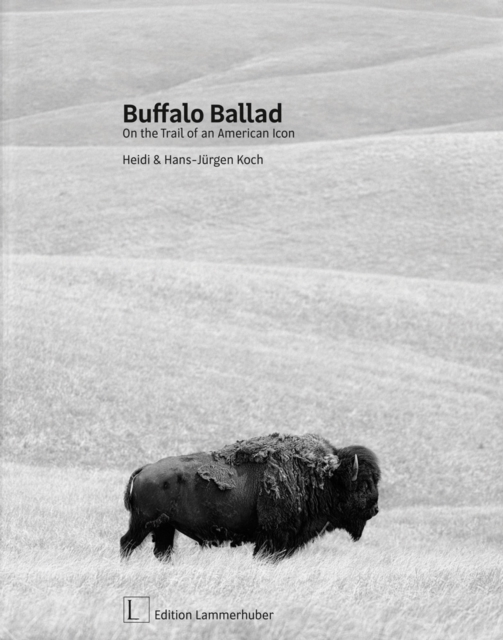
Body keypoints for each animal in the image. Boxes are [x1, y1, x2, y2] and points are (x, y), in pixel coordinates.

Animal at [120, 432, 380, 561]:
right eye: (364, 483)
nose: (375, 508)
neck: (322, 477)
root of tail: (145, 469)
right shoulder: (272, 537)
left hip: (165, 526)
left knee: (161, 551)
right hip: (143, 523)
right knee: (126, 543)